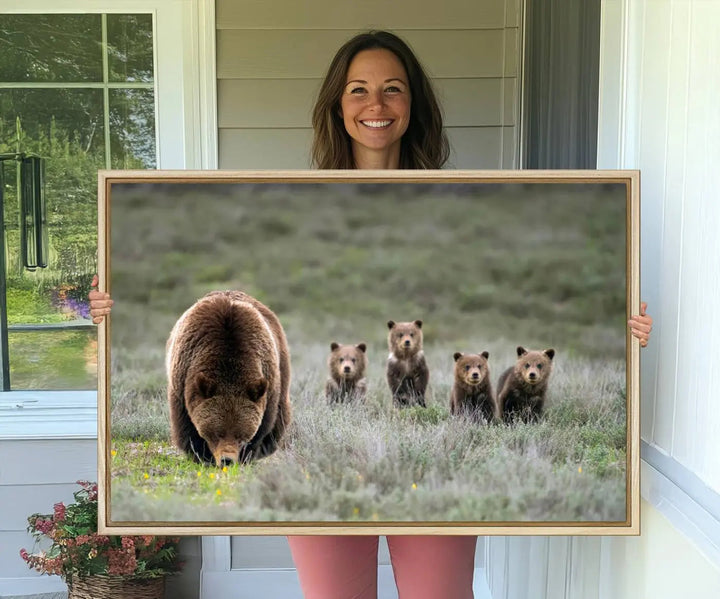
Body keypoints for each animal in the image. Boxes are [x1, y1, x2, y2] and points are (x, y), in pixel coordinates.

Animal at [166, 292, 292, 466]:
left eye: (240, 435)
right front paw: (201, 455)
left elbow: (264, 426)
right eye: (217, 433)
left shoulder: (268, 383)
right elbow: (187, 426)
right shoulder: (183, 381)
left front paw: (247, 455)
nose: (227, 460)